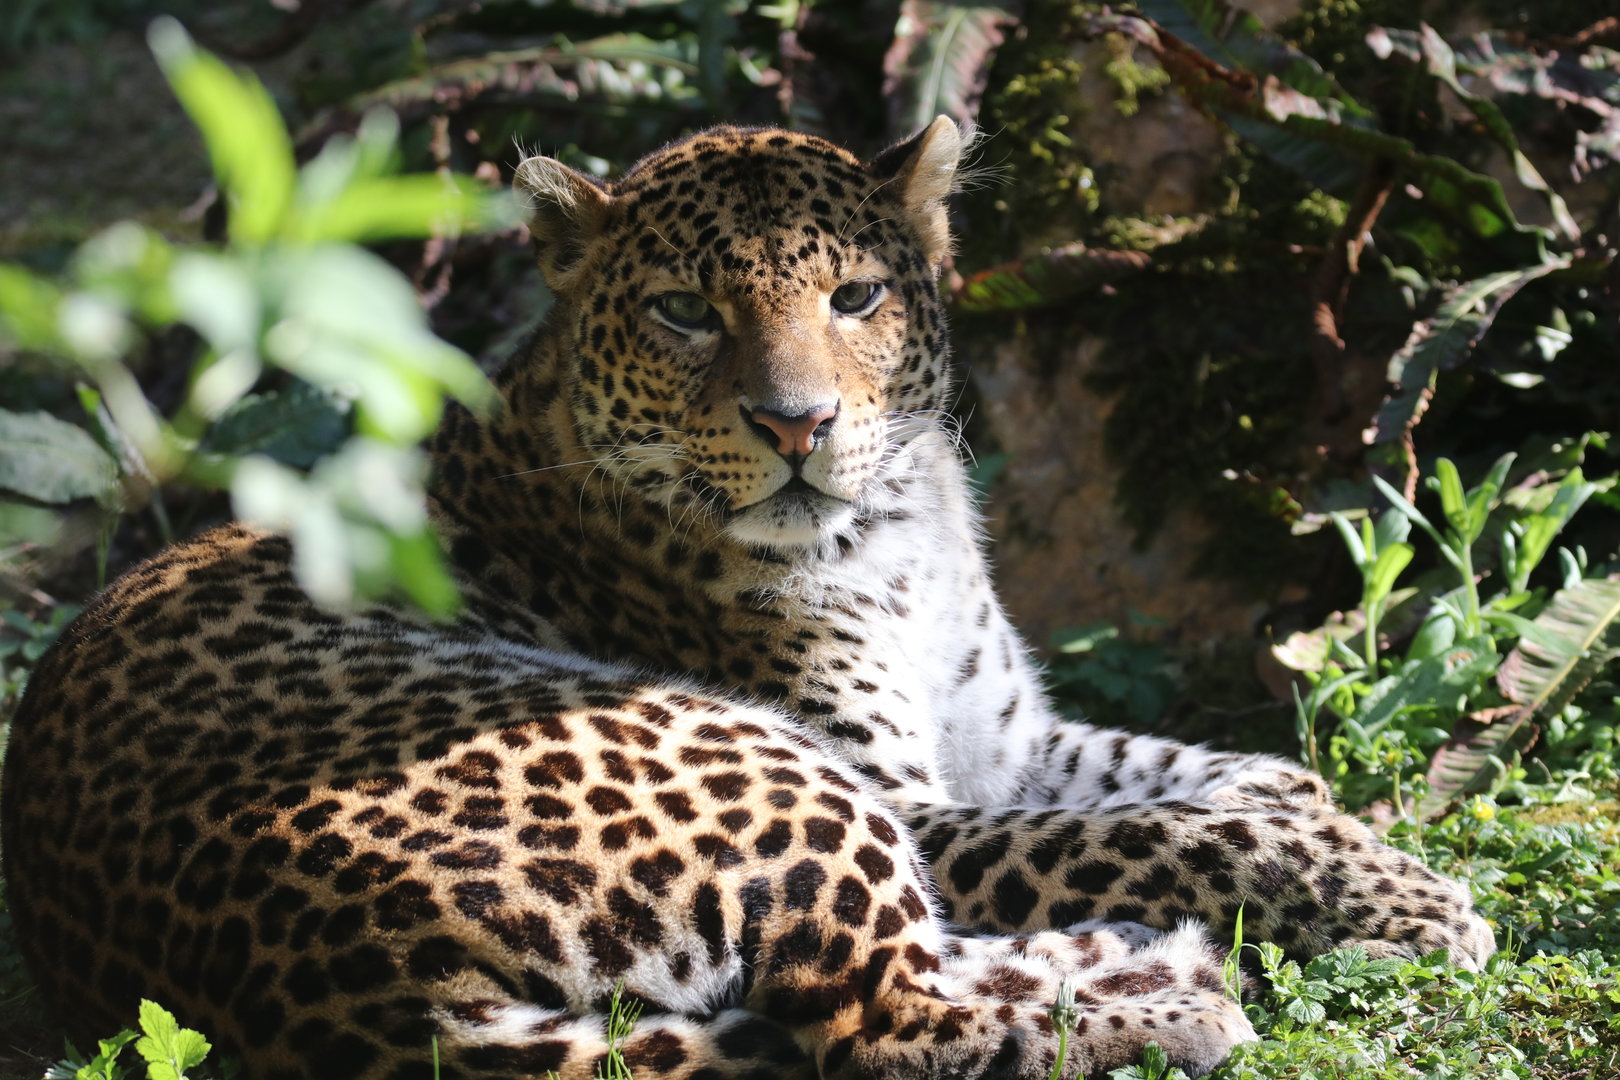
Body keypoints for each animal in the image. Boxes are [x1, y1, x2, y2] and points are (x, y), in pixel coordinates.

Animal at [1, 117, 1494, 1080]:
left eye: (859, 295)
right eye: (682, 313)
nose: (797, 424)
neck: (905, 532)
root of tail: (342, 991)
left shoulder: (1011, 742)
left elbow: (1220, 779)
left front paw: (1345, 833)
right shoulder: (915, 797)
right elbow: (1167, 833)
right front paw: (1414, 903)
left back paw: (1136, 967)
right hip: (750, 761)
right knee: (883, 1021)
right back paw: (1169, 994)